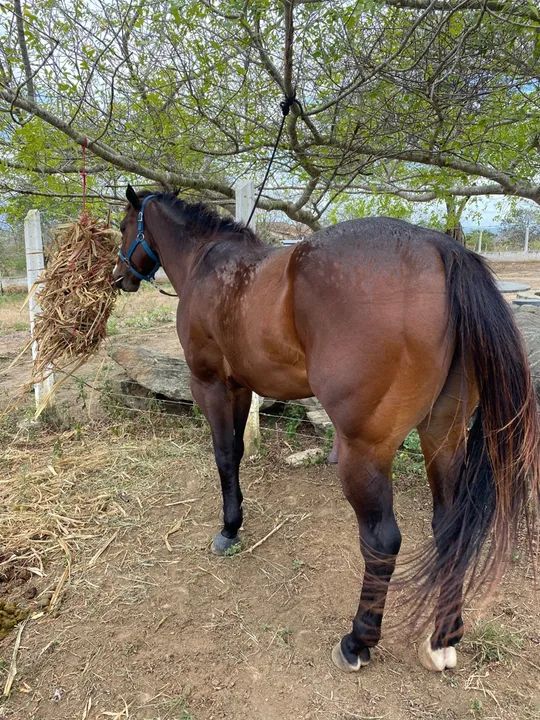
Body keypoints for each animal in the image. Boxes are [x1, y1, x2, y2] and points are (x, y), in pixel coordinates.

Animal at [113, 185, 539, 673]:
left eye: (123, 226)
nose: (118, 276)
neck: (209, 263)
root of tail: (439, 248)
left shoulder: (212, 386)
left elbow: (224, 455)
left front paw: (229, 528)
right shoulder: (241, 388)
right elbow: (236, 453)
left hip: (366, 451)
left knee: (383, 540)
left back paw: (358, 641)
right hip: (444, 435)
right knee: (449, 528)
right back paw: (442, 638)